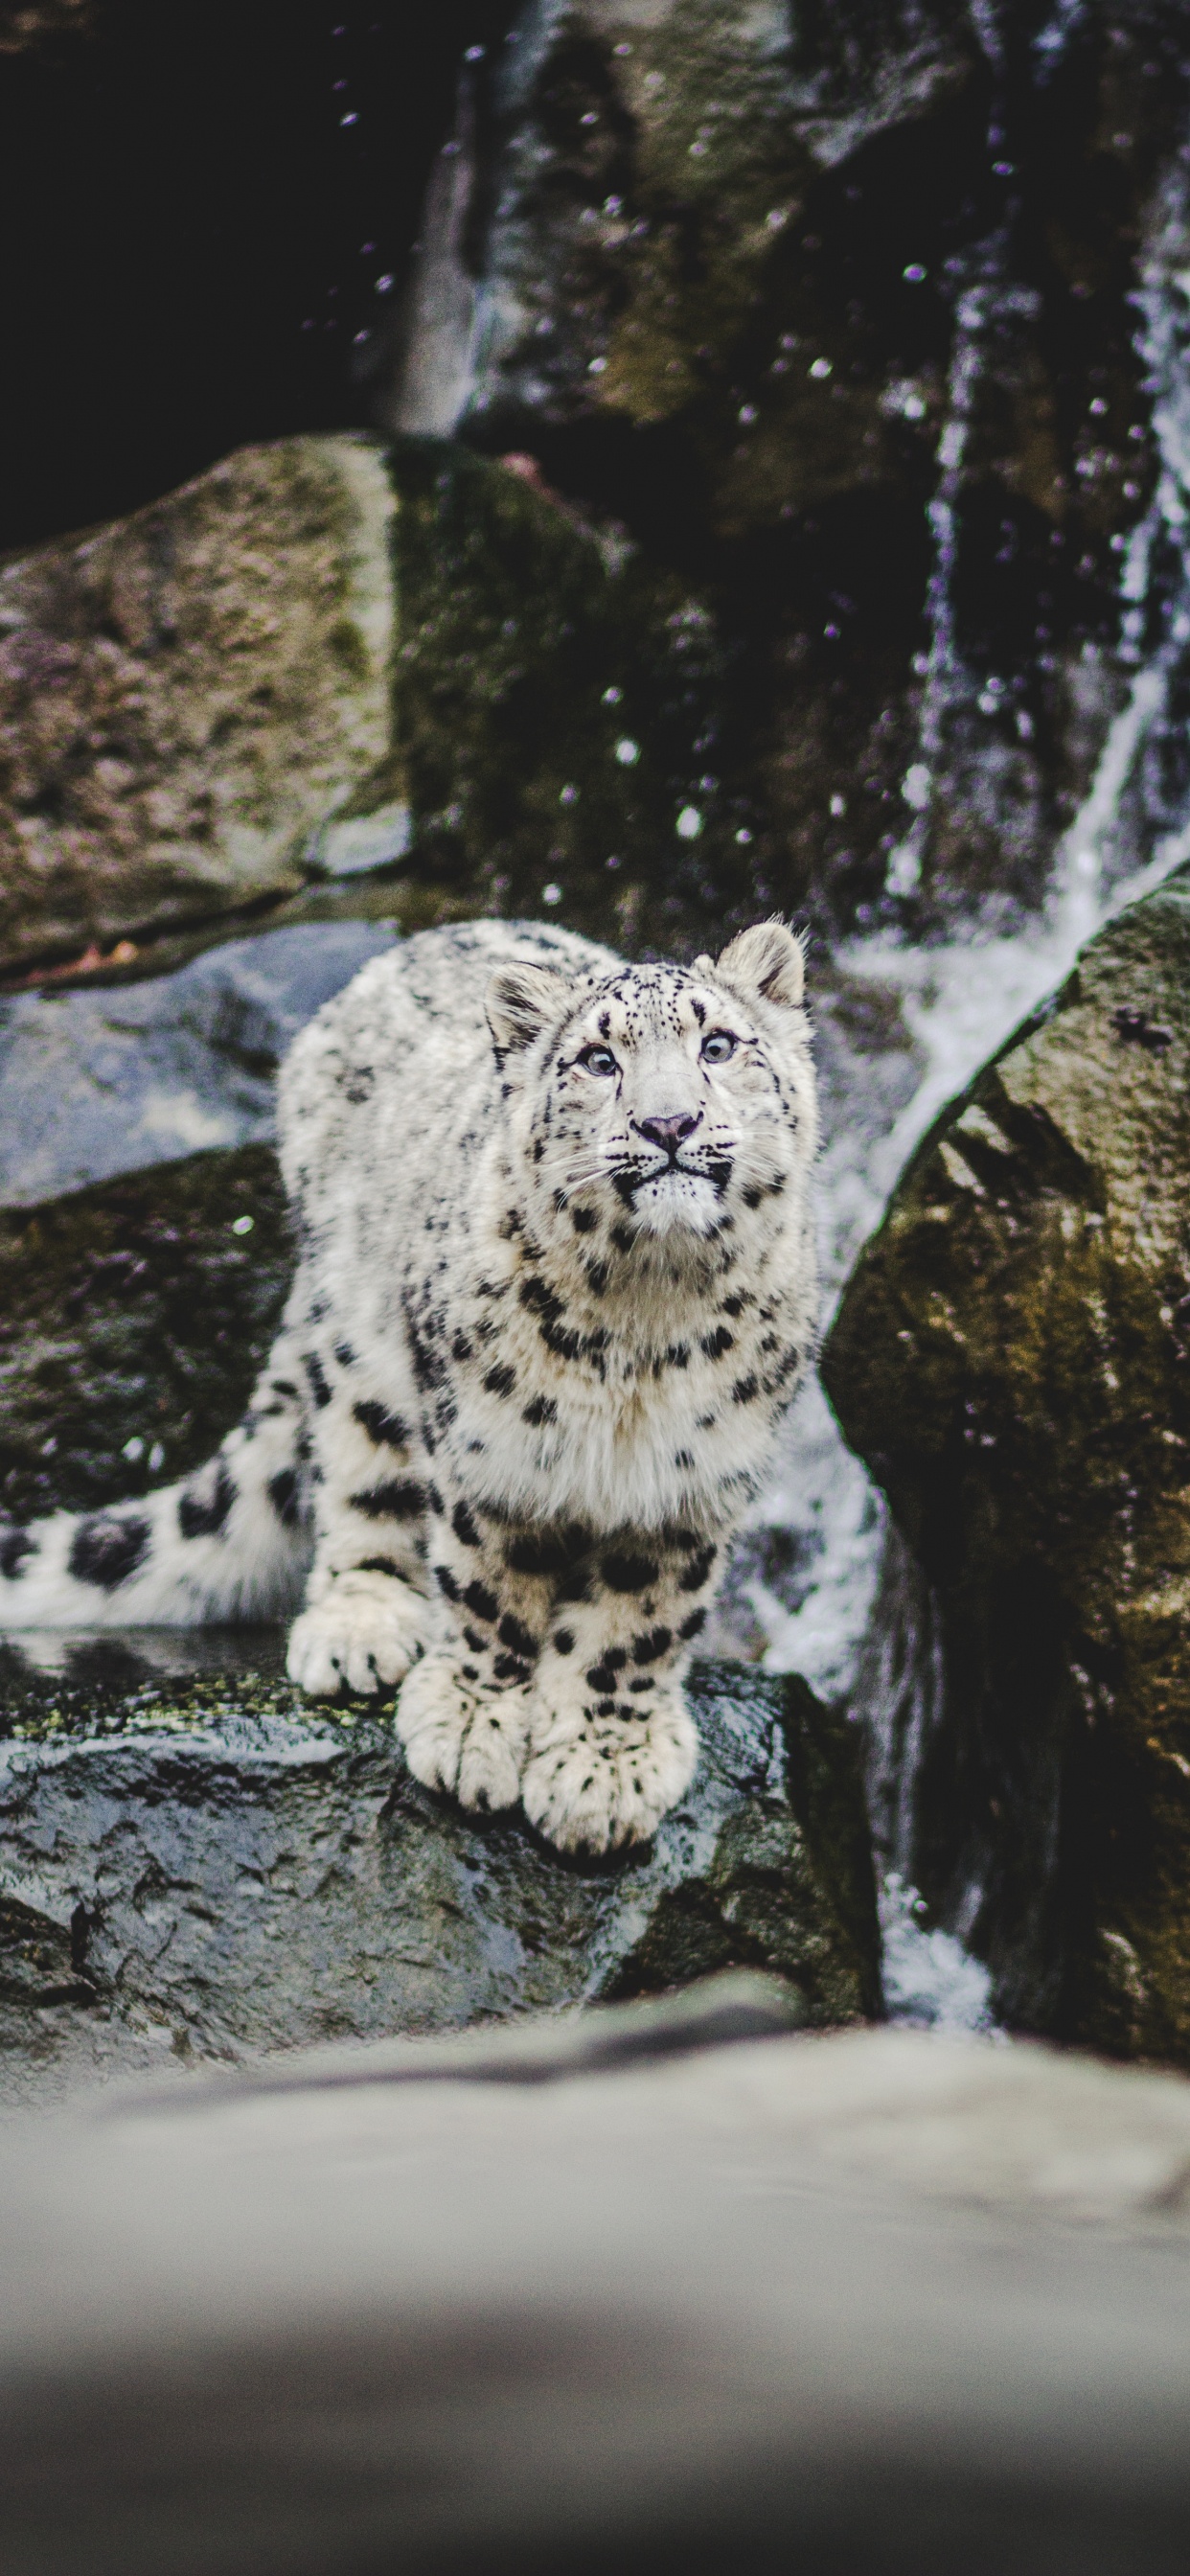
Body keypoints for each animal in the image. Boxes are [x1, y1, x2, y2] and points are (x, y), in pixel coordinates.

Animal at [0, 927, 818, 1854]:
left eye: (718, 1045)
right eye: (599, 1059)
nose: (669, 1122)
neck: (647, 1319)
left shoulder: (691, 1482)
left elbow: (637, 1623)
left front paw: (604, 1769)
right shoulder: (493, 1450)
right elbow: (491, 1586)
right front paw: (472, 1729)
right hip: (360, 1348)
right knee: (360, 1476)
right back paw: (361, 1626)